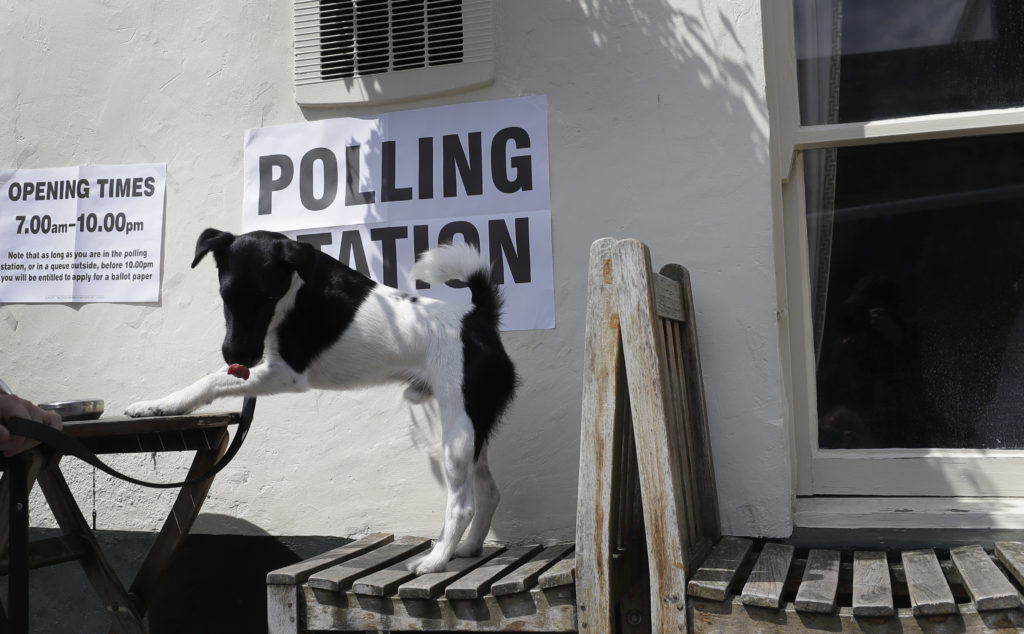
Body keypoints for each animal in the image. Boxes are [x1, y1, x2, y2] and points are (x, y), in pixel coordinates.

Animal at [123, 229, 516, 573]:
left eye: (266, 298)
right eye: (225, 296)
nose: (238, 356)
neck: (296, 292)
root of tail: (478, 318)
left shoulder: (285, 373)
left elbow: (211, 380)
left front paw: (167, 404)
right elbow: (211, 377)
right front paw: (158, 406)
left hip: (458, 434)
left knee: (463, 504)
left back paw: (435, 561)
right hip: (472, 431)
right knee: (490, 493)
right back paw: (469, 547)